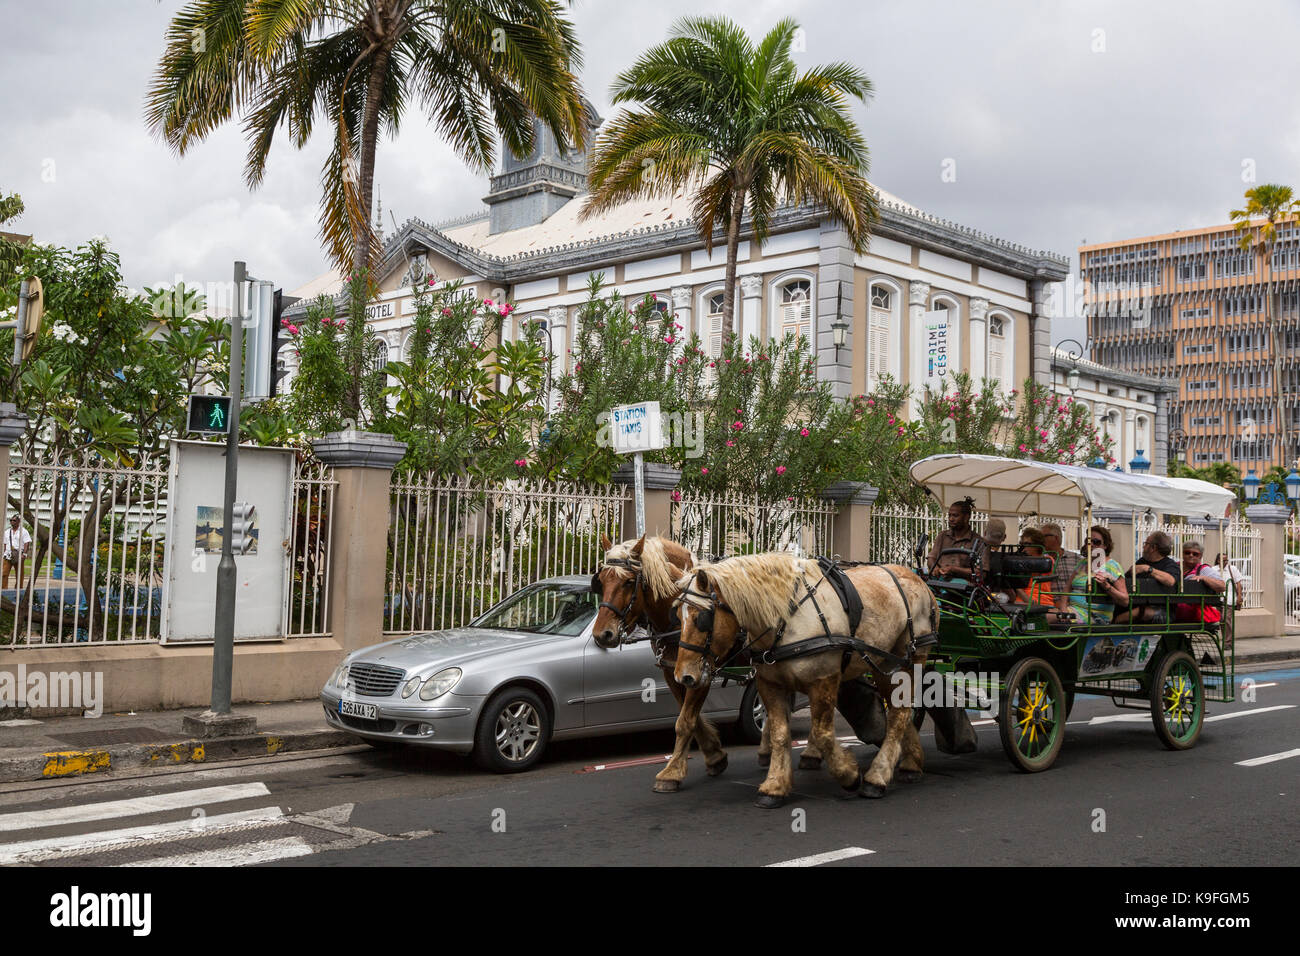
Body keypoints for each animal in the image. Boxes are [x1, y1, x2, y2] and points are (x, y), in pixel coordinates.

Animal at [670, 554, 935, 806]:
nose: (683, 676)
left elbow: (823, 733)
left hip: (910, 660)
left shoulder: (824, 679)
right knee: (900, 712)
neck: (787, 619)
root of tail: (919, 580)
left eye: (701, 619)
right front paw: (774, 787)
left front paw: (849, 775)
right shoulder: (770, 685)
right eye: (677, 617)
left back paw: (877, 777)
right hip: (883, 664)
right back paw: (911, 763)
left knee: (900, 715)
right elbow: (779, 734)